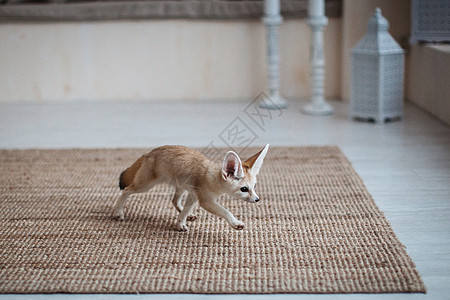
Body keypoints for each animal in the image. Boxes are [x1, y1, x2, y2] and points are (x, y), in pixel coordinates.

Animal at [114, 144, 268, 231]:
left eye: (254, 186)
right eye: (244, 189)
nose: (257, 199)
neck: (213, 177)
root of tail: (150, 153)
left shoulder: (194, 195)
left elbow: (185, 210)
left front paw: (180, 222)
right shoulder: (205, 201)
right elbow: (226, 212)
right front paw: (235, 223)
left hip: (181, 187)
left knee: (175, 201)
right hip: (145, 185)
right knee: (126, 190)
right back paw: (118, 212)